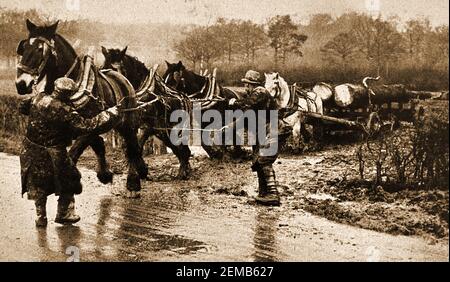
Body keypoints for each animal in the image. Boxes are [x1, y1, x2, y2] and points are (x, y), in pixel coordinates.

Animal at [14, 19, 147, 198]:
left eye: (41, 50)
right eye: (24, 47)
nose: (21, 84)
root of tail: (122, 79)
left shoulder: (89, 126)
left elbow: (74, 152)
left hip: (128, 123)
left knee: (132, 147)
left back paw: (133, 182)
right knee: (104, 145)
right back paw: (107, 174)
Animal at [101, 46, 192, 178]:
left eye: (117, 70)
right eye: (103, 67)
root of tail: (184, 97)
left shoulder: (148, 127)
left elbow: (137, 145)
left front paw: (140, 169)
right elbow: (130, 147)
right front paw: (140, 169)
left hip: (172, 129)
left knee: (182, 149)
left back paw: (183, 171)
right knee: (179, 149)